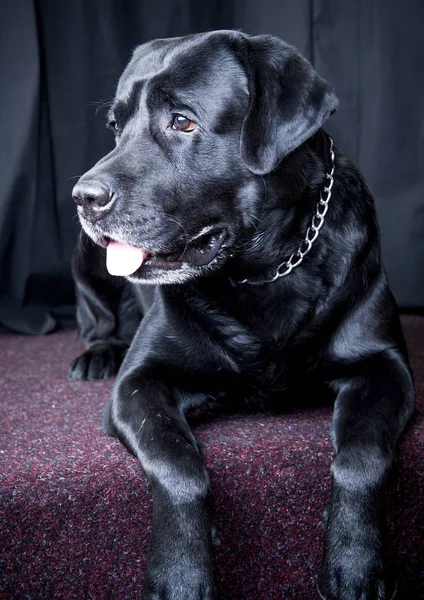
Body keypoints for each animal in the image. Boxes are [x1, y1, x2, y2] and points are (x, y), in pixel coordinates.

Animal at [69, 29, 414, 600]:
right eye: (116, 126)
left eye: (182, 121)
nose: (83, 195)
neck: (263, 270)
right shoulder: (140, 382)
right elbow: (179, 464)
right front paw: (181, 572)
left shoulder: (386, 366)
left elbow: (361, 457)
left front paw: (356, 561)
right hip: (86, 261)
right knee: (95, 315)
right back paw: (95, 354)